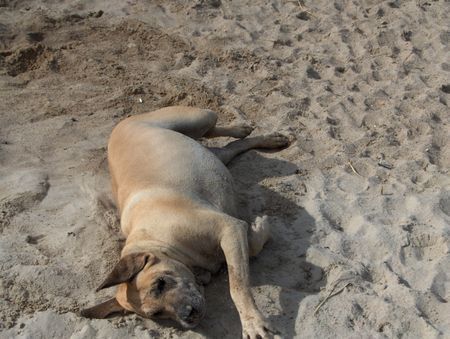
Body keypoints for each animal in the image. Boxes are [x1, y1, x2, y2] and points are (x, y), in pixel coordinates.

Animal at [81, 107, 288, 339]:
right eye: (157, 314)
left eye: (161, 283)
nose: (188, 315)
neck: (156, 241)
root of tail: (119, 126)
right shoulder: (230, 232)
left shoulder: (229, 228)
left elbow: (237, 285)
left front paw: (252, 322)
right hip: (210, 152)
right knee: (227, 148)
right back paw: (262, 137)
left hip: (197, 117)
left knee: (211, 129)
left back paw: (245, 130)